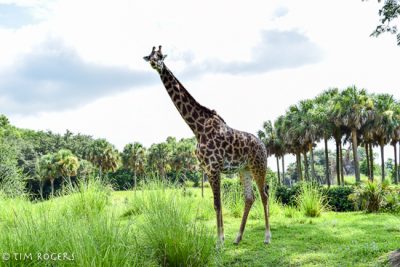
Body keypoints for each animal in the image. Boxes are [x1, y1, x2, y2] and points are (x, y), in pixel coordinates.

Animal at [142, 45, 270, 245]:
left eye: (161, 55)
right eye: (150, 56)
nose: (155, 63)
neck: (197, 127)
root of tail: (264, 146)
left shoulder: (214, 166)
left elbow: (217, 204)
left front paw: (218, 242)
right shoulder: (208, 169)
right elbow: (216, 204)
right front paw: (222, 239)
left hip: (259, 167)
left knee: (264, 195)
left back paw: (267, 237)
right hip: (245, 169)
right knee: (250, 198)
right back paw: (238, 237)